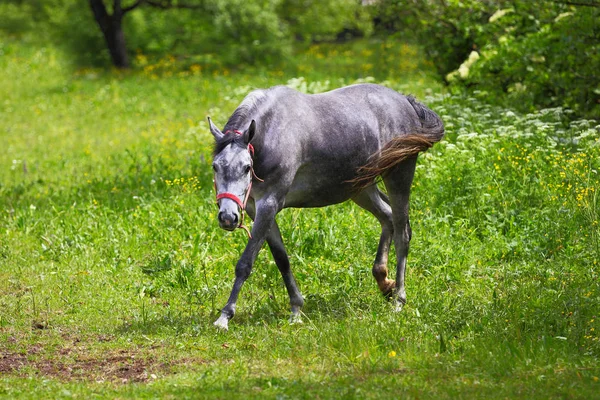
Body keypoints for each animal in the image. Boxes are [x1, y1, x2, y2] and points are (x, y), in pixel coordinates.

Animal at [209, 83, 442, 330]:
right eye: (215, 166)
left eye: (246, 167)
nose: (228, 217)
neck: (270, 132)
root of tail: (405, 102)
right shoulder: (257, 210)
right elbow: (282, 259)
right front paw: (296, 309)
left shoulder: (269, 205)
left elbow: (245, 263)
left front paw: (225, 316)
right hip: (361, 188)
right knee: (387, 217)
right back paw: (384, 282)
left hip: (399, 177)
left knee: (402, 233)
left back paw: (399, 299)